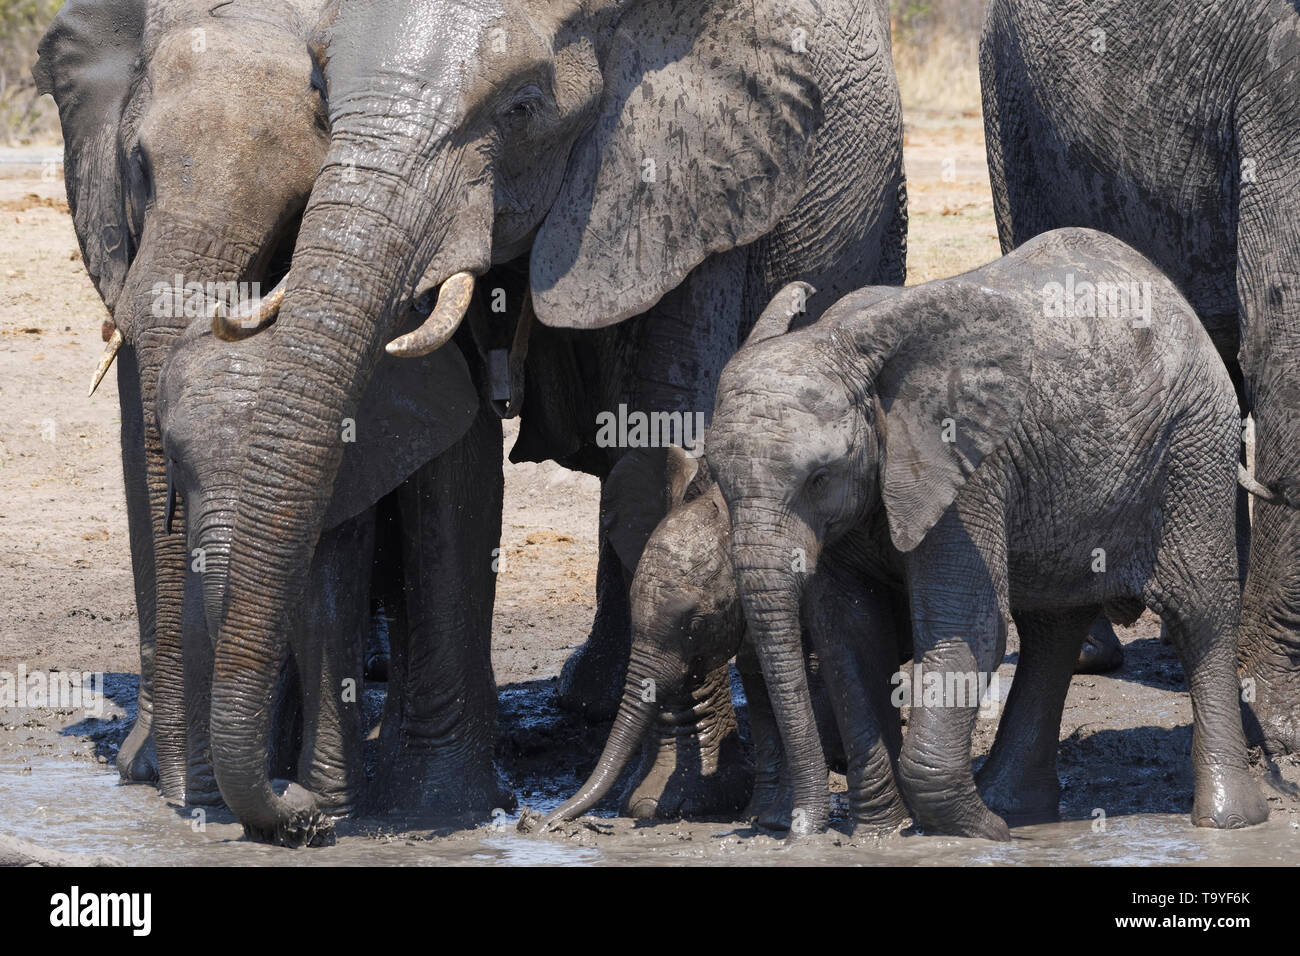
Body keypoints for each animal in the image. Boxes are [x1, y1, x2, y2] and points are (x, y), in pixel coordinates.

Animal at [208, 0, 909, 842]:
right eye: (319, 92)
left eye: (520, 109)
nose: (299, 815)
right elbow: (458, 452)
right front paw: (438, 808)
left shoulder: (698, 180)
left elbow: (659, 434)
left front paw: (680, 799)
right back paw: (591, 698)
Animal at [712, 227, 1268, 842]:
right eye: (715, 478)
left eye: (818, 476)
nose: (799, 830)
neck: (841, 342)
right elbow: (849, 634)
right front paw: (886, 831)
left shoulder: (966, 472)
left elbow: (969, 627)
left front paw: (975, 833)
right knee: (1053, 626)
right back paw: (1016, 806)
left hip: (1194, 444)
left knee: (1200, 613)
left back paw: (1229, 823)